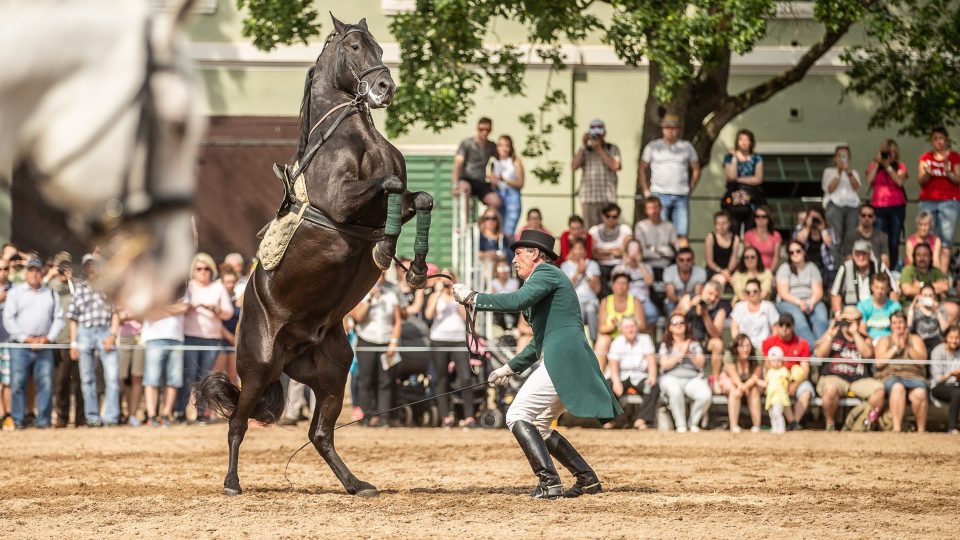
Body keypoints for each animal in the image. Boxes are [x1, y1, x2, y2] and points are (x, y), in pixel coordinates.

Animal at [195, 14, 432, 498]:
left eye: (381, 47)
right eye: (355, 47)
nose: (384, 87)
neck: (350, 137)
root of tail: (292, 349)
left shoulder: (395, 200)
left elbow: (421, 197)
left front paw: (414, 267)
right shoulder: (343, 202)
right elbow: (391, 187)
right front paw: (386, 247)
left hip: (332, 372)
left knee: (319, 434)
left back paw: (357, 484)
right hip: (258, 366)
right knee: (238, 424)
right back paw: (231, 483)